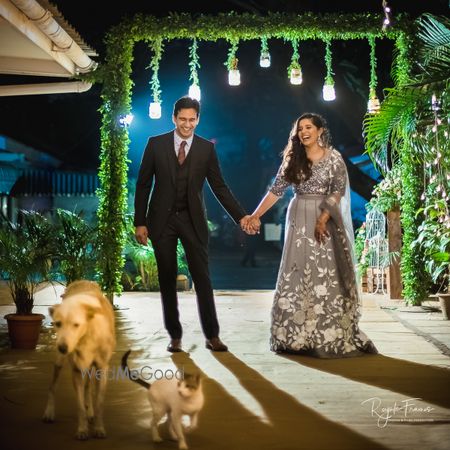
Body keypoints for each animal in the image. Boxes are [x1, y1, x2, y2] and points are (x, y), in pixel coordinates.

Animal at [42, 282, 114, 440]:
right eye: (58, 324)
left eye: (76, 325)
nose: (62, 347)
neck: (86, 336)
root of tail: (81, 281)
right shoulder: (76, 370)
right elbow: (80, 406)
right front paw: (82, 430)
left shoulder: (102, 369)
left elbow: (99, 403)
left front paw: (99, 428)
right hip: (59, 362)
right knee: (51, 387)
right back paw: (49, 412)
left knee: (88, 388)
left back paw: (90, 412)